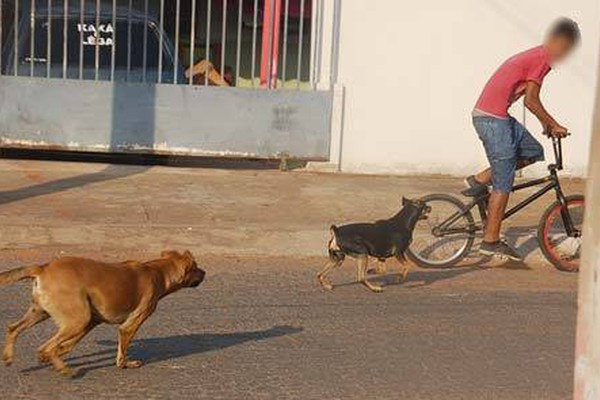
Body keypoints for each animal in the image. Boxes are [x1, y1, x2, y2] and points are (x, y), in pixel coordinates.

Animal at [0, 250, 205, 376]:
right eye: (196, 267)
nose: (205, 273)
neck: (157, 270)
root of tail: (44, 267)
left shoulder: (93, 321)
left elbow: (68, 346)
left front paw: (55, 355)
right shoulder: (129, 325)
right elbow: (122, 352)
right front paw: (125, 364)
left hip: (45, 313)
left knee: (14, 329)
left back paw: (10, 357)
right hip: (77, 320)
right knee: (45, 346)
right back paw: (62, 368)